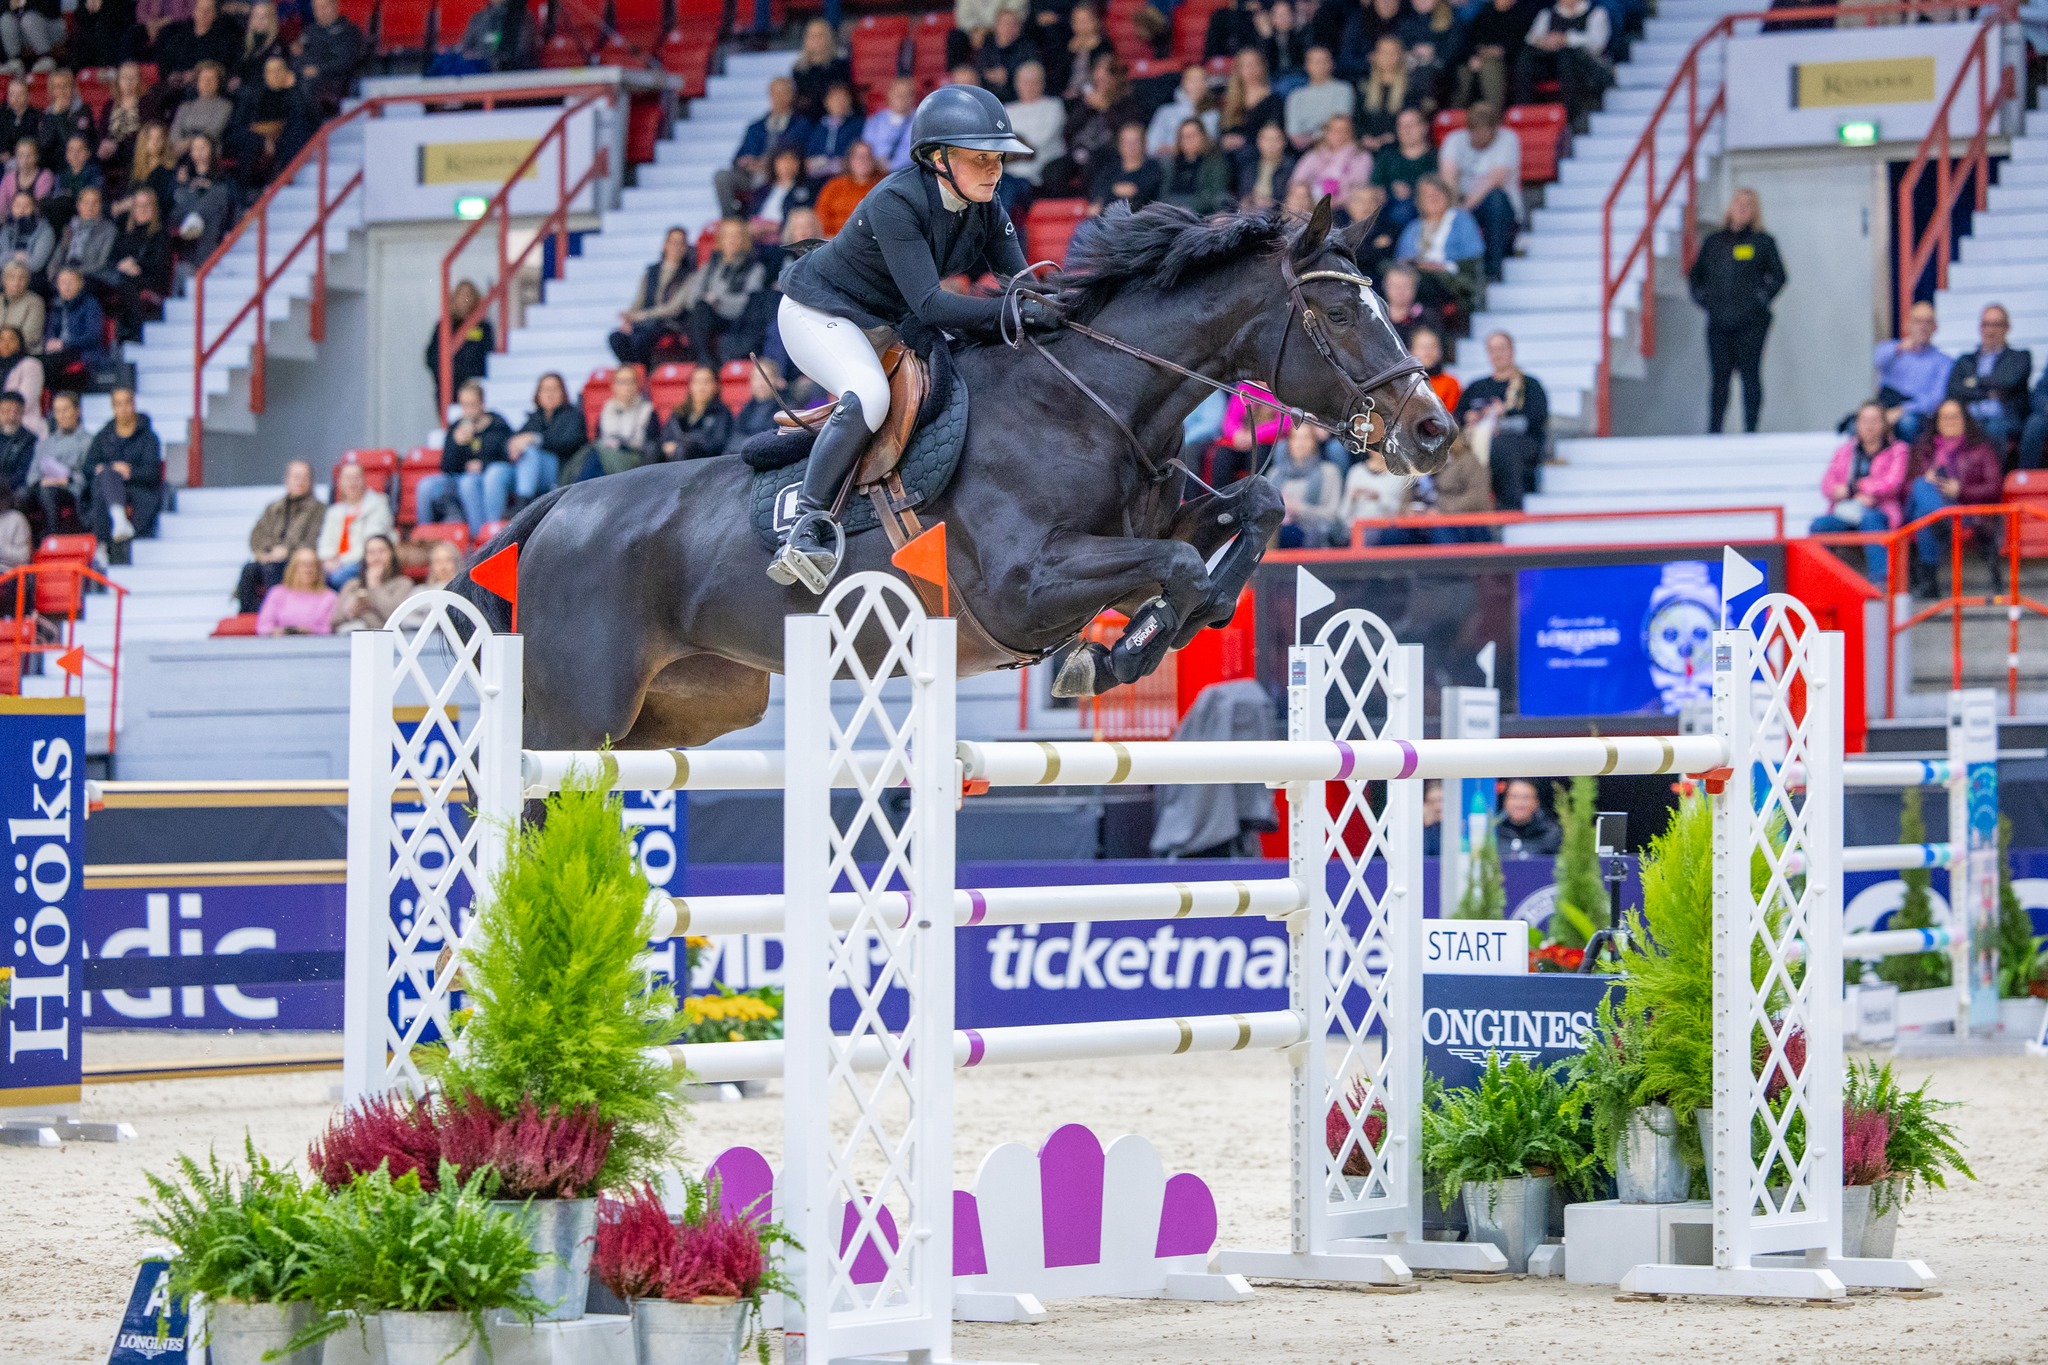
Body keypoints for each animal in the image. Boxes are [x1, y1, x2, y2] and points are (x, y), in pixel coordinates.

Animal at [457, 197, 1453, 750]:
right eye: (1337, 310)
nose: (1434, 429)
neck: (1093, 403)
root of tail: (558, 505)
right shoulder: (1023, 584)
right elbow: (1175, 570)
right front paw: (1117, 653)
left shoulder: (1147, 523)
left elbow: (1258, 507)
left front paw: (1148, 636)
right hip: (572, 721)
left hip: (679, 716)